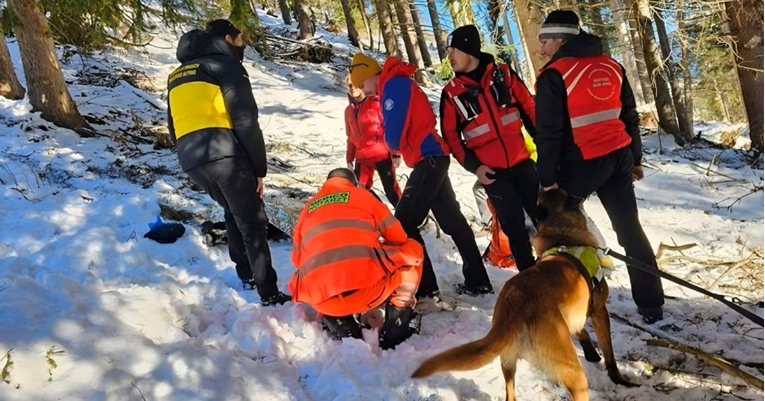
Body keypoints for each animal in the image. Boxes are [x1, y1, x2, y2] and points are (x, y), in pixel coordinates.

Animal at [412, 188, 632, 400]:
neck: (561, 235)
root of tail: (514, 305)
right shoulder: (599, 311)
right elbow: (609, 353)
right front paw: (617, 377)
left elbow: (580, 330)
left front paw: (590, 350)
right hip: (575, 375)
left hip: (508, 363)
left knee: (510, 395)